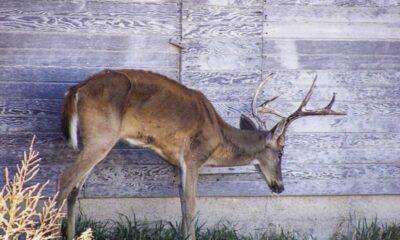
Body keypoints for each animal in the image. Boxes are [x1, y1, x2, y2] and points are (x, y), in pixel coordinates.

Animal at [57, 68, 346, 239]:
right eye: (282, 151)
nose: (280, 186)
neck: (218, 135)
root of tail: (76, 90)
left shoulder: (177, 163)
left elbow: (183, 204)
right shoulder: (194, 157)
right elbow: (192, 207)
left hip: (94, 141)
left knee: (75, 188)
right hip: (101, 135)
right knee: (65, 180)